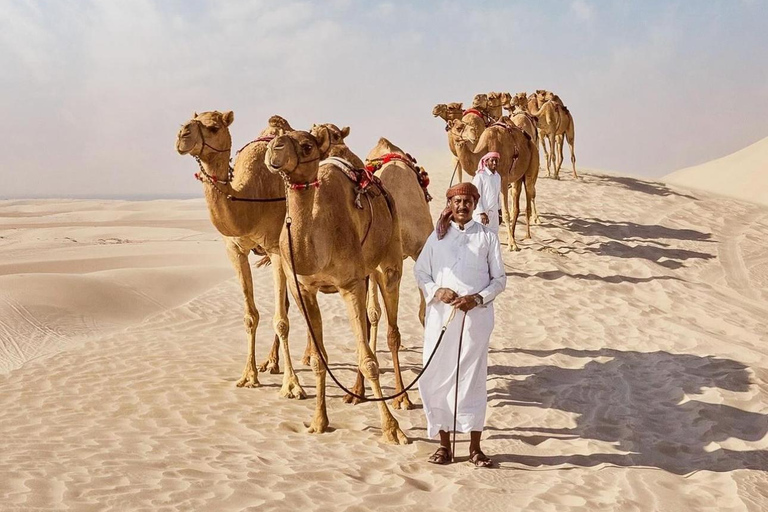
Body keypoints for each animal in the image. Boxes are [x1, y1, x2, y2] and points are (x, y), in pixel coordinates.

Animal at [175, 111, 306, 400]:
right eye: (190, 120)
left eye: (213, 127)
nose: (182, 135)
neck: (250, 199)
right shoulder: (235, 251)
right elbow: (250, 315)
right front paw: (248, 375)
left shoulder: (277, 249)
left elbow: (281, 320)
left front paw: (292, 385)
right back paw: (271, 362)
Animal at [264, 130, 412, 442]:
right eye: (281, 137)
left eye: (306, 145)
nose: (275, 148)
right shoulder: (303, 290)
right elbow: (319, 360)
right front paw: (319, 421)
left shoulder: (350, 284)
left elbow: (370, 361)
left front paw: (392, 429)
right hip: (367, 274)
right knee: (367, 326)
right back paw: (355, 393)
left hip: (389, 261)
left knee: (392, 332)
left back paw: (401, 399)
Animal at [448, 118, 544, 250]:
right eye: (458, 127)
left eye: (466, 125)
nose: (473, 133)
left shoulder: (503, 179)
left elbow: (505, 213)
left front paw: (512, 245)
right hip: (517, 178)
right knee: (516, 204)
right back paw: (513, 235)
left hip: (532, 165)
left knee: (529, 197)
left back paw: (527, 235)